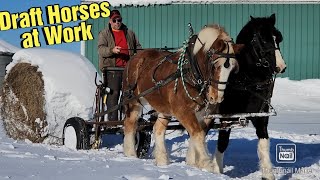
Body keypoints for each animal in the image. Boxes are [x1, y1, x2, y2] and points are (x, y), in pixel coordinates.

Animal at [122, 24, 242, 172]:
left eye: (232, 69)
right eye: (214, 65)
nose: (216, 98)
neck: (192, 72)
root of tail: (135, 57)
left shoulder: (206, 114)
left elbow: (199, 134)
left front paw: (192, 161)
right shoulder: (183, 111)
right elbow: (197, 133)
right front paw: (206, 164)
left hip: (165, 108)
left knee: (158, 129)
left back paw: (162, 161)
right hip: (133, 101)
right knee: (130, 125)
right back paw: (131, 155)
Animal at [210, 13, 288, 179]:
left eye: (278, 38)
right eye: (263, 39)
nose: (281, 66)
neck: (245, 81)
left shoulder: (261, 115)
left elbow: (264, 142)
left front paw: (268, 174)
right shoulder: (226, 116)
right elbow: (222, 142)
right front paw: (216, 171)